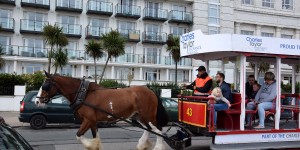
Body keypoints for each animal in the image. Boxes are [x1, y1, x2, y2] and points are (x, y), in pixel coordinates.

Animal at [35, 72, 169, 150]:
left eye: (45, 86)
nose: (37, 101)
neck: (84, 94)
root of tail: (151, 91)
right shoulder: (93, 121)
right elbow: (96, 137)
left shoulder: (88, 120)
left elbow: (78, 135)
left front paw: (90, 145)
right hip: (138, 116)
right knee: (149, 129)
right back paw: (142, 144)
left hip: (148, 116)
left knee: (158, 130)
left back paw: (158, 147)